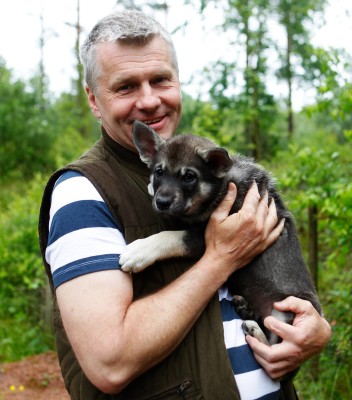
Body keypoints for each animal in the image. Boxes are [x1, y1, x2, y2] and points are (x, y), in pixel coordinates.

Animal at [121, 120, 322, 346]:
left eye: (189, 177)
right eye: (159, 172)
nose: (162, 202)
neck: (222, 185)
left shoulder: (203, 237)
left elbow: (172, 237)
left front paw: (139, 251)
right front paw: (150, 187)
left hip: (286, 311)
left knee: (273, 346)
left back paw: (254, 330)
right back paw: (247, 311)